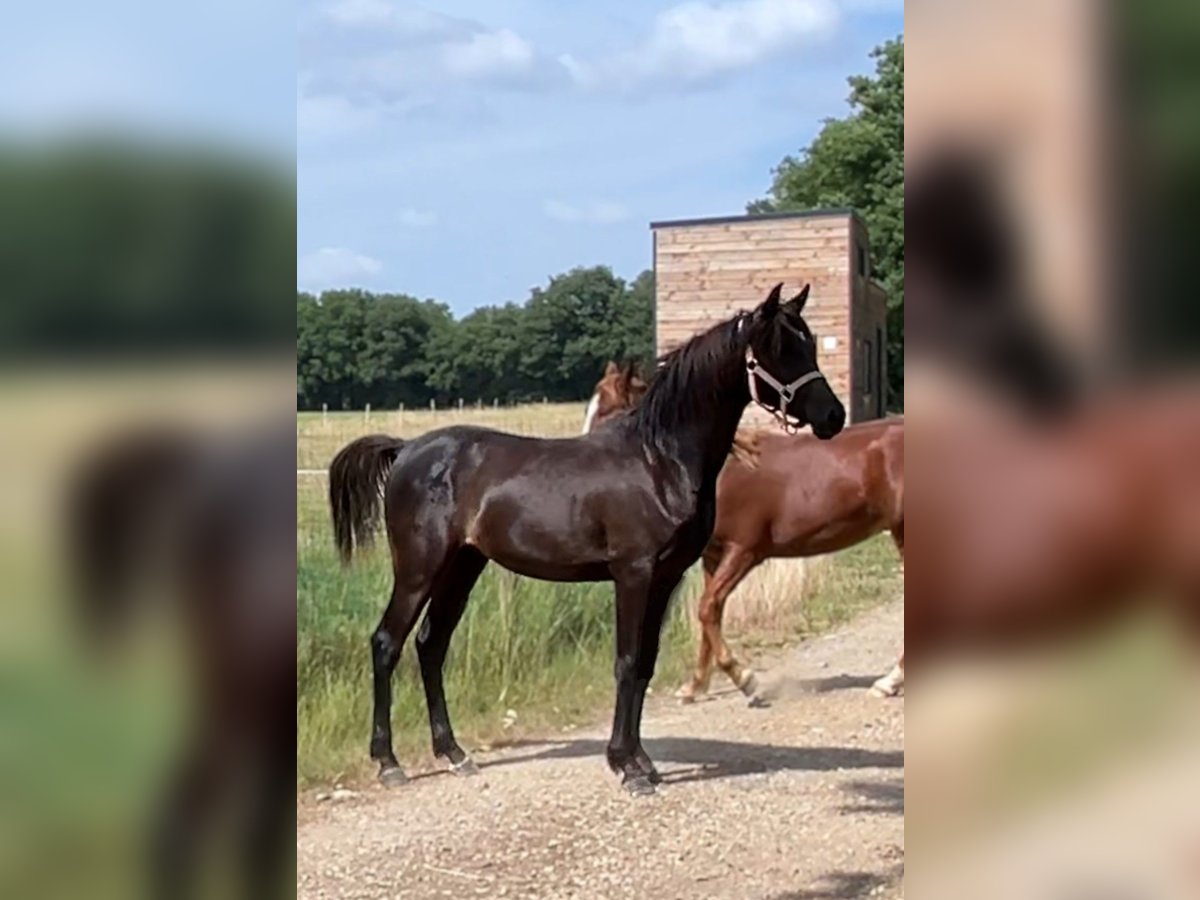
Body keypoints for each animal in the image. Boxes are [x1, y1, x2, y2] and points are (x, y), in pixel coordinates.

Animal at [328, 283, 846, 796]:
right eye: (780, 349)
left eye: (809, 344)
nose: (833, 416)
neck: (658, 460)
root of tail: (407, 450)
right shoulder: (633, 574)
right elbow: (627, 661)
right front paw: (627, 767)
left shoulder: (666, 578)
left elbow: (645, 664)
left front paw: (642, 761)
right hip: (420, 568)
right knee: (387, 643)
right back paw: (389, 762)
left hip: (462, 566)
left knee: (431, 645)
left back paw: (455, 754)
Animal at [584, 377, 905, 700]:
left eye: (605, 412)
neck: (722, 473)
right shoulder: (713, 556)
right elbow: (709, 616)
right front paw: (694, 686)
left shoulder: (744, 552)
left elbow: (707, 608)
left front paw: (744, 678)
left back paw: (888, 682)